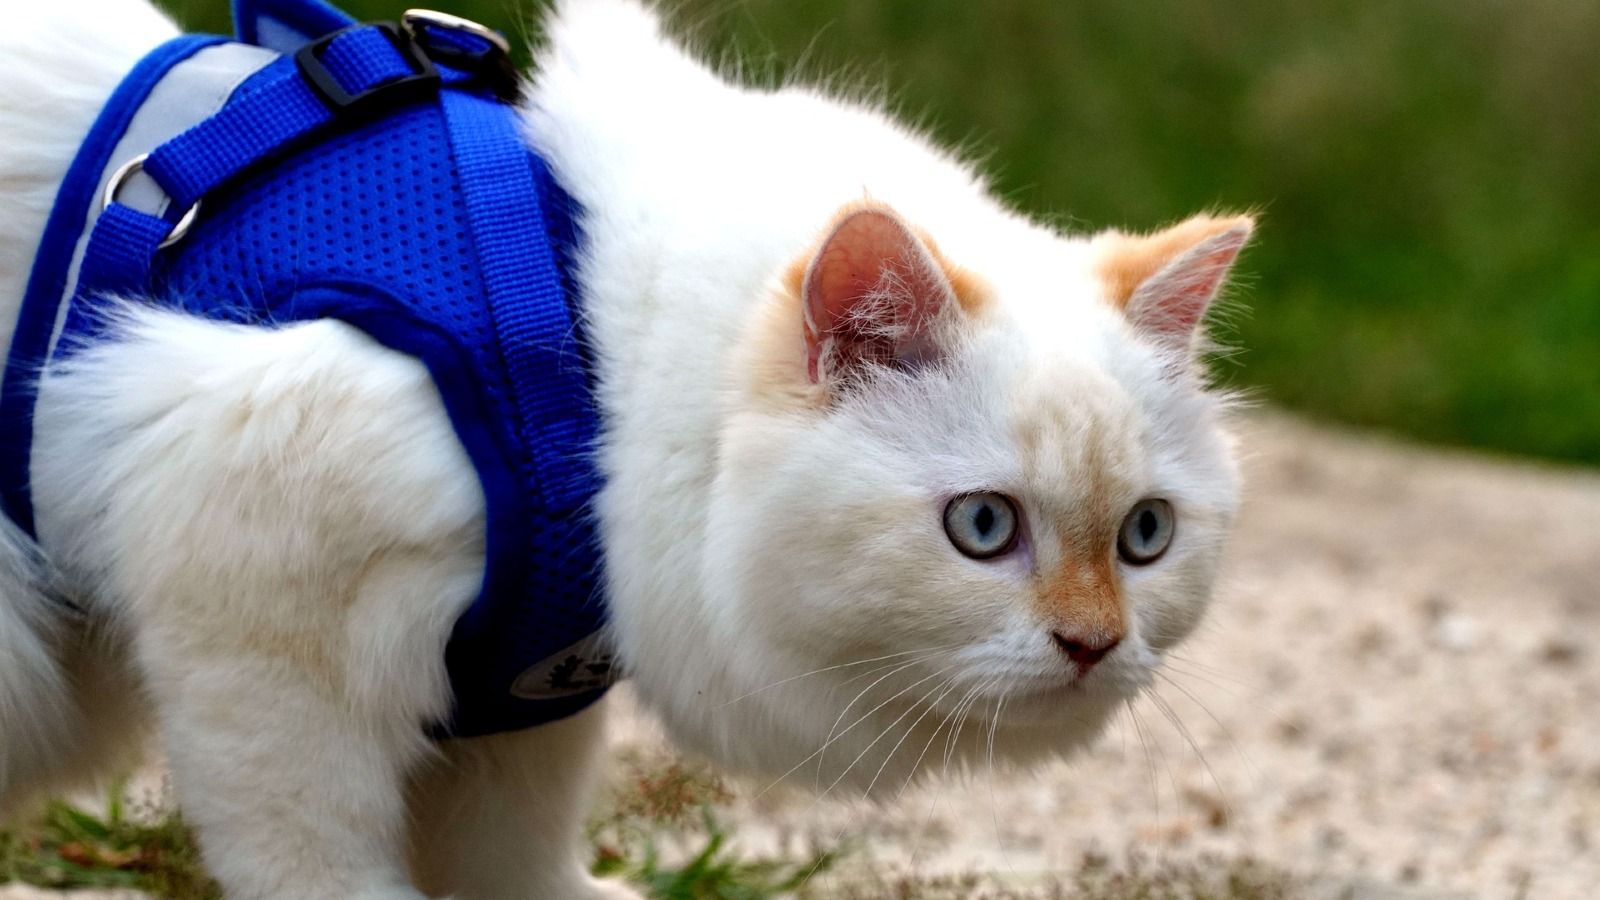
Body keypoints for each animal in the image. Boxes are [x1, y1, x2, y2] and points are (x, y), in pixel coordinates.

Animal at [0, 1, 1248, 896]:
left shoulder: (520, 702)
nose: (1093, 645)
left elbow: (513, 863)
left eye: (1145, 536)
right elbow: (322, 862)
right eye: (982, 526)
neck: (580, 334)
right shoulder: (261, 627)